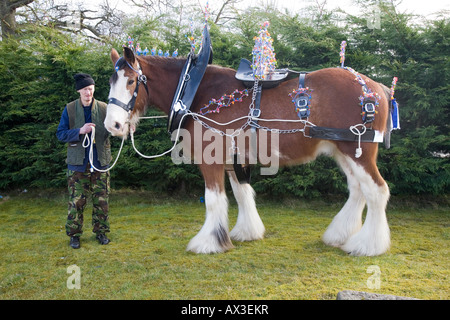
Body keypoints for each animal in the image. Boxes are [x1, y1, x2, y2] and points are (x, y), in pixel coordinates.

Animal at [103, 47, 392, 258]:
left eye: (131, 81)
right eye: (110, 82)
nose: (111, 125)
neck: (195, 90)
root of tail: (377, 87)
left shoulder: (211, 158)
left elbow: (214, 200)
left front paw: (208, 242)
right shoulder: (234, 160)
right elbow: (242, 195)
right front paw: (246, 232)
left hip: (358, 151)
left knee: (377, 190)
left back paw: (368, 245)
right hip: (342, 150)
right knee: (358, 190)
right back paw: (340, 235)